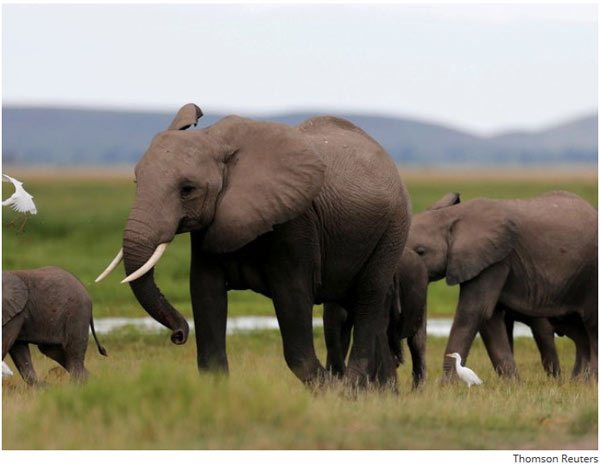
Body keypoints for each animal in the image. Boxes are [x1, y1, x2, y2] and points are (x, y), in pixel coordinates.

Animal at [99, 105, 408, 390]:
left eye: (187, 190)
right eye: (136, 182)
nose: (178, 335)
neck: (215, 140)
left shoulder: (295, 222)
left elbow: (292, 298)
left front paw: (331, 390)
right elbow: (205, 292)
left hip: (393, 228)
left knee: (369, 296)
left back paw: (352, 389)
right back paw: (378, 393)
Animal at [406, 191, 596, 380]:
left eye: (421, 251)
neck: (451, 216)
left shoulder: (496, 261)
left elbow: (473, 313)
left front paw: (446, 385)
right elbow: (490, 318)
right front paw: (513, 384)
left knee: (590, 326)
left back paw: (586, 381)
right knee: (580, 333)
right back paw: (578, 381)